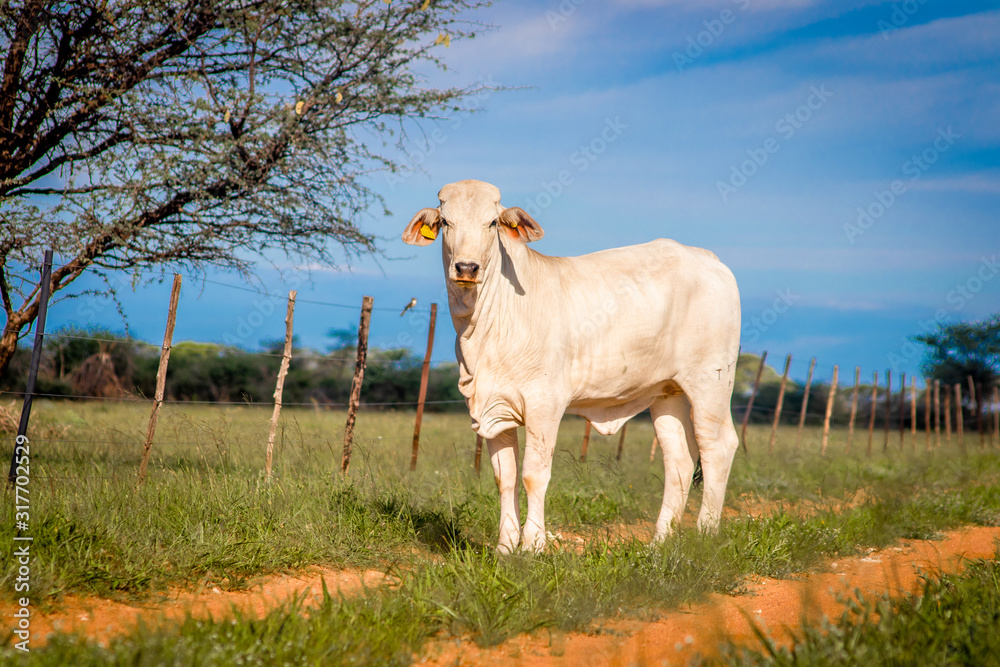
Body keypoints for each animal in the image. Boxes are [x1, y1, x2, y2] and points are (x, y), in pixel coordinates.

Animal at [402, 180, 741, 553]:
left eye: (491, 223)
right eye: (446, 222)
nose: (466, 268)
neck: (485, 327)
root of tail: (706, 257)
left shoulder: (544, 405)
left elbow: (533, 474)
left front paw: (532, 545)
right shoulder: (494, 407)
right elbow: (505, 477)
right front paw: (504, 547)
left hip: (710, 383)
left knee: (717, 447)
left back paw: (706, 534)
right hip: (668, 392)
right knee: (679, 460)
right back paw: (659, 543)